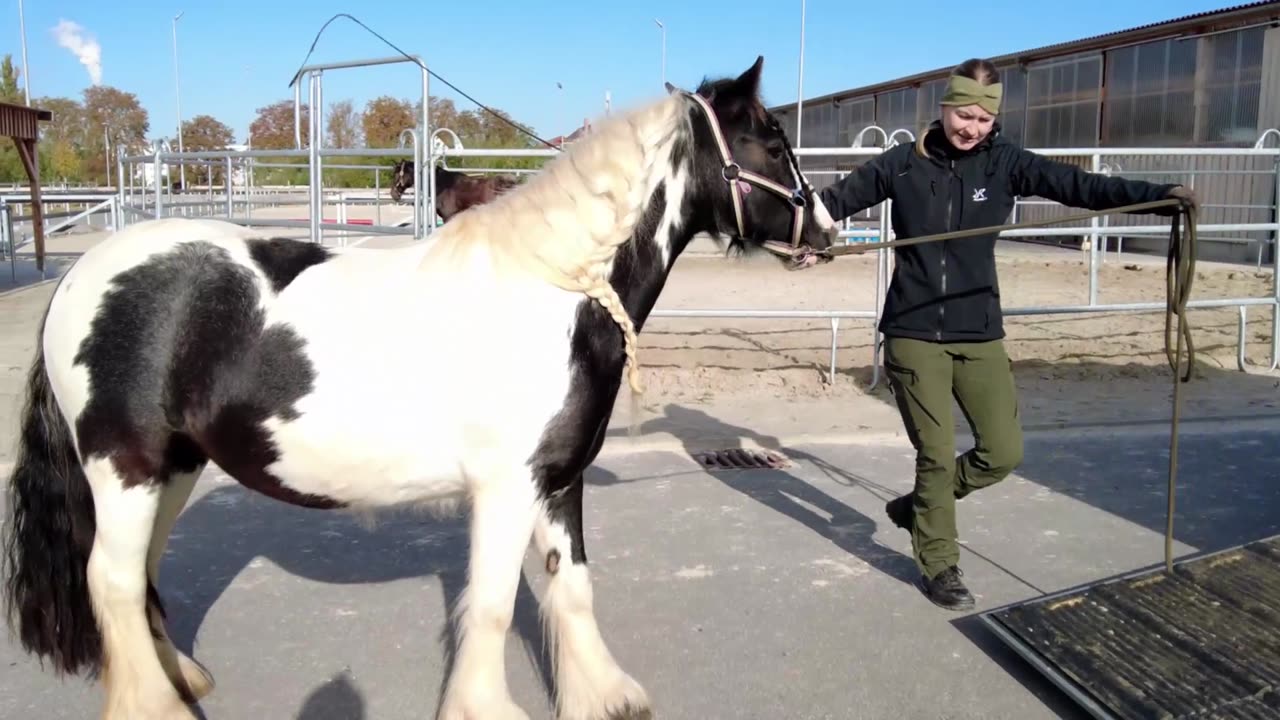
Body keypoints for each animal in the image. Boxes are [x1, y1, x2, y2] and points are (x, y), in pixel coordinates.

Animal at [2, 57, 839, 717]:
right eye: (771, 140)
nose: (828, 232)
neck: (556, 286)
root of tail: (79, 276)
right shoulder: (508, 488)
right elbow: (494, 605)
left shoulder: (558, 481)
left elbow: (571, 589)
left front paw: (605, 696)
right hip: (127, 468)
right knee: (111, 581)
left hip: (172, 467)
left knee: (138, 577)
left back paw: (184, 679)